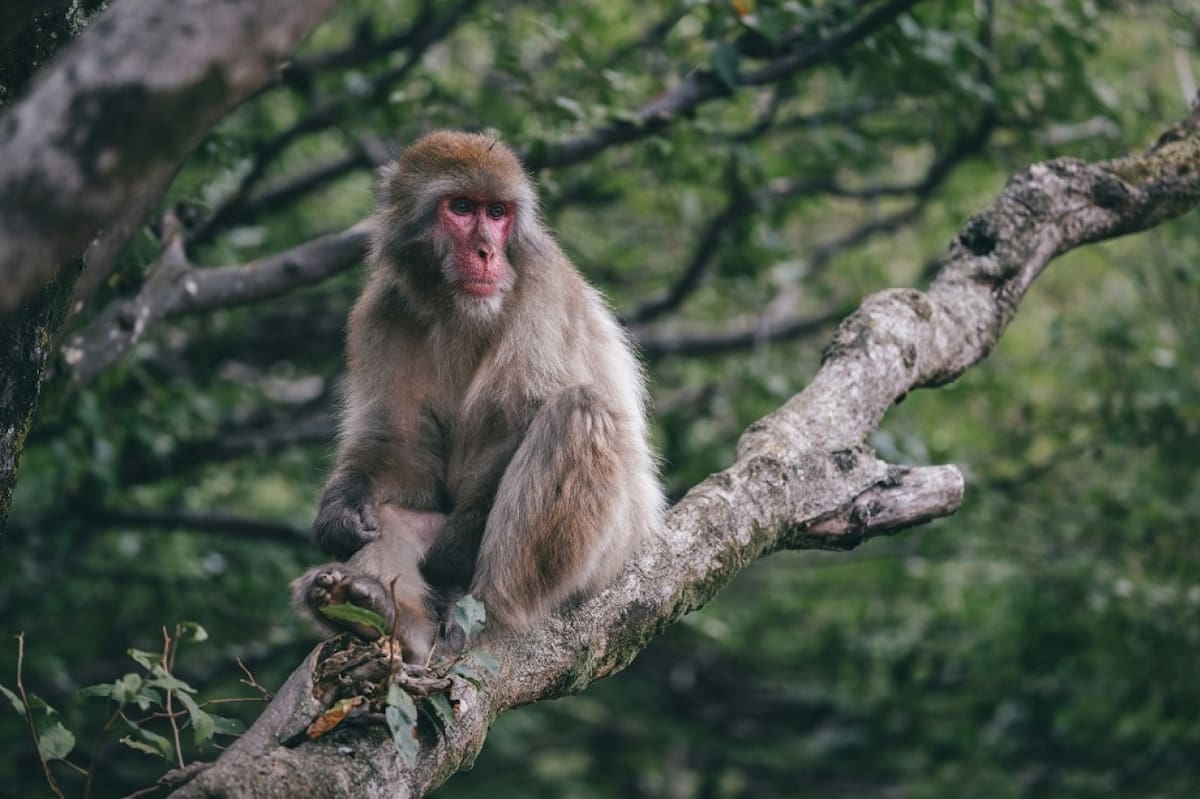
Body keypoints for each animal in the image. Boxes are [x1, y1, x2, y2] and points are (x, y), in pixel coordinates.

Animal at [293, 130, 663, 662]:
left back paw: (486, 613)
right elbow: (396, 448)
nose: (488, 251)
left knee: (580, 410)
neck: (457, 308)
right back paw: (385, 615)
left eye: (498, 212)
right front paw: (340, 514)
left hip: (609, 556)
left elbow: (515, 424)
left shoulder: (542, 289)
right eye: (463, 208)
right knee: (393, 516)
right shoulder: (381, 310)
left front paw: (448, 565)